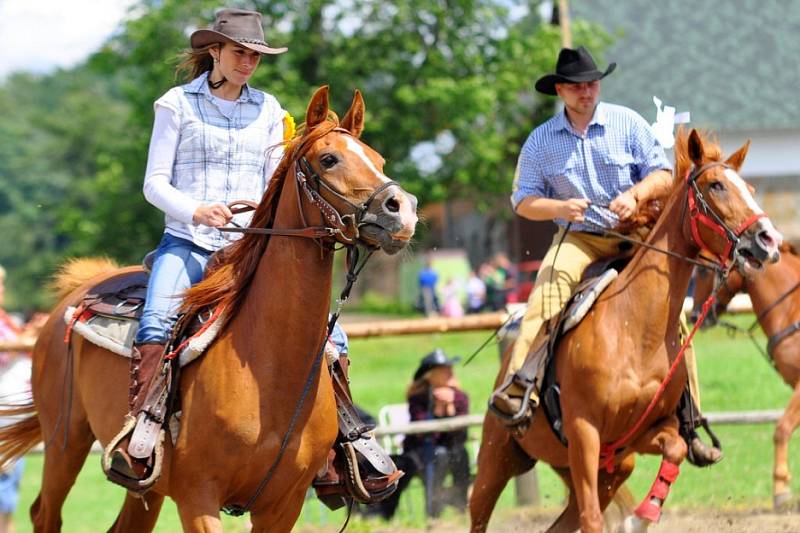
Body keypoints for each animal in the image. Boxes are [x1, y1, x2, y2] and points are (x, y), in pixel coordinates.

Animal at [0, 85, 422, 528]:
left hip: (143, 484)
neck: (269, 370)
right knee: (45, 512)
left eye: (377, 159)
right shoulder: (198, 497)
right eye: (329, 158)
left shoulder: (284, 505)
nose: (403, 209)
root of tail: (81, 288)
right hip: (65, 443)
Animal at [468, 129, 780, 532]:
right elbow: (593, 519)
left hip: (607, 470)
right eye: (716, 185)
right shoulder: (584, 432)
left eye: (751, 189)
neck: (635, 330)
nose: (768, 239)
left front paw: (643, 515)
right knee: (482, 510)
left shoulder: (646, 433)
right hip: (496, 460)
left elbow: (677, 448)